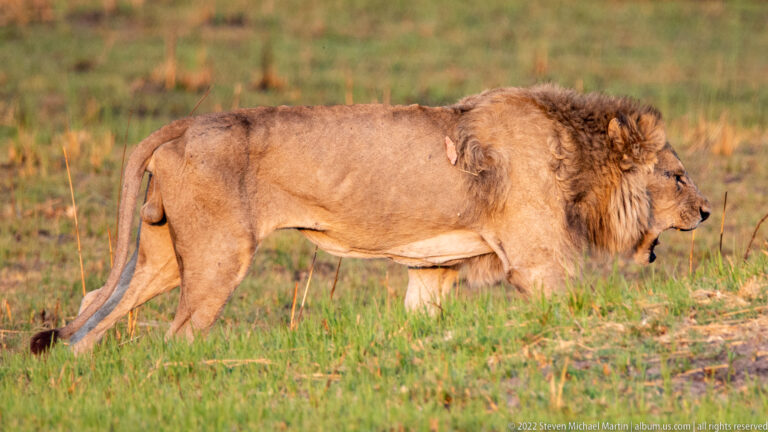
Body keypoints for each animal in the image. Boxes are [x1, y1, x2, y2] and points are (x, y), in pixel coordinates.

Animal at [31, 84, 710, 355]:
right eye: (677, 176)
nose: (704, 211)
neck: (577, 153)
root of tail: (184, 123)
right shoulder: (539, 259)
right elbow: (571, 305)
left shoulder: (435, 267)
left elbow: (423, 322)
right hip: (219, 256)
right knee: (178, 336)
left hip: (164, 255)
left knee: (94, 303)